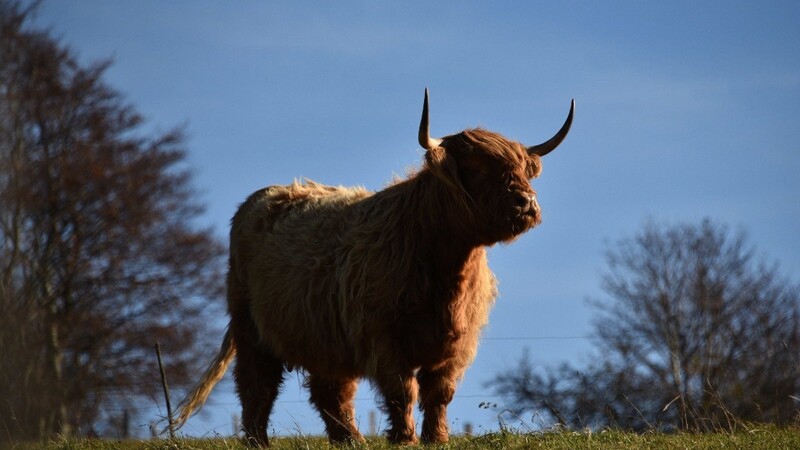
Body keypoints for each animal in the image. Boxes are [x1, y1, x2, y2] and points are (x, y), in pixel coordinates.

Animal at [177, 89, 572, 444]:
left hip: (324, 336)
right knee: (257, 384)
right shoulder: (382, 335)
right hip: (250, 326)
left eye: (523, 170)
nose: (526, 202)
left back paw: (350, 439)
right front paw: (404, 438)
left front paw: (437, 438)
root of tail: (261, 197)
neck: (445, 268)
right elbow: (402, 390)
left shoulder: (457, 344)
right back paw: (259, 440)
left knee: (330, 390)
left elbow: (439, 393)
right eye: (477, 167)